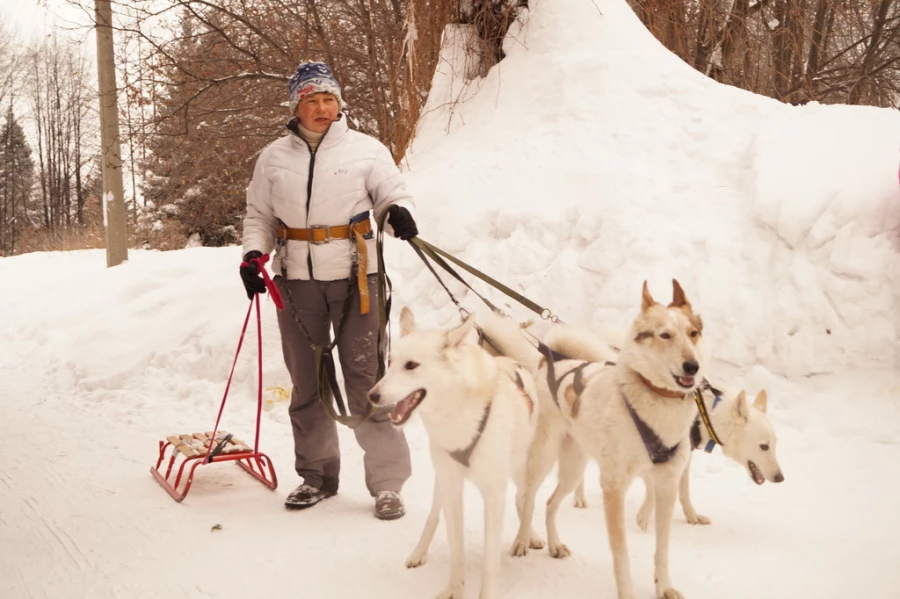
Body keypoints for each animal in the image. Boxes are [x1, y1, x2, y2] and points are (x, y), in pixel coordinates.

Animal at [364, 310, 536, 599]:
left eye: (411, 365)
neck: (458, 414)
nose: (372, 396)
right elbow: (457, 550)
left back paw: (528, 536)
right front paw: (455, 589)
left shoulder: (494, 495)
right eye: (390, 362)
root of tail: (510, 361)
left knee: (525, 500)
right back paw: (419, 552)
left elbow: (491, 560)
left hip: (522, 470)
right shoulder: (452, 488)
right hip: (441, 482)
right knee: (433, 516)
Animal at [482, 280, 708, 599]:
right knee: (527, 501)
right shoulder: (614, 488)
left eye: (693, 333)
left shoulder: (666, 486)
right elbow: (621, 554)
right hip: (541, 461)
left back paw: (554, 544)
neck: (655, 400)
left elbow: (662, 548)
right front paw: (627, 592)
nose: (692, 366)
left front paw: (663, 586)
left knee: (549, 504)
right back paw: (523, 540)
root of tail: (548, 364)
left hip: (574, 470)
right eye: (665, 335)